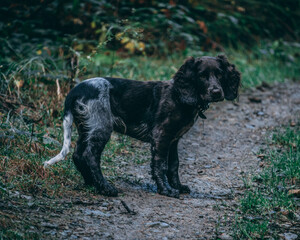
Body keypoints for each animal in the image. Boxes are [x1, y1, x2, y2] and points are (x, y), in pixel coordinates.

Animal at [44, 54, 241, 199]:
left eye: (220, 74)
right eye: (202, 75)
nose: (216, 92)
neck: (180, 96)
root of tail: (75, 91)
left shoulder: (174, 140)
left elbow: (174, 165)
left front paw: (178, 186)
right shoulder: (161, 136)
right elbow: (161, 165)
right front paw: (166, 190)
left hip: (86, 127)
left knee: (78, 155)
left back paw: (92, 183)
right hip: (100, 127)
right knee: (89, 156)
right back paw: (105, 188)